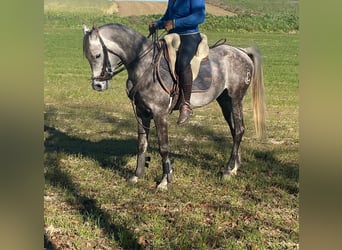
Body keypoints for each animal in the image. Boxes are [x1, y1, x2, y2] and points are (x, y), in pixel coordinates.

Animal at [82, 23, 264, 190]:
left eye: (97, 55)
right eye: (87, 57)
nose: (98, 85)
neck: (144, 65)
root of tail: (241, 51)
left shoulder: (159, 114)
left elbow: (163, 147)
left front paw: (164, 180)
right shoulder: (141, 113)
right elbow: (142, 144)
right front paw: (137, 175)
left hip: (236, 99)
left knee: (239, 130)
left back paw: (228, 170)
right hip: (225, 101)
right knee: (234, 131)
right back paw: (234, 167)